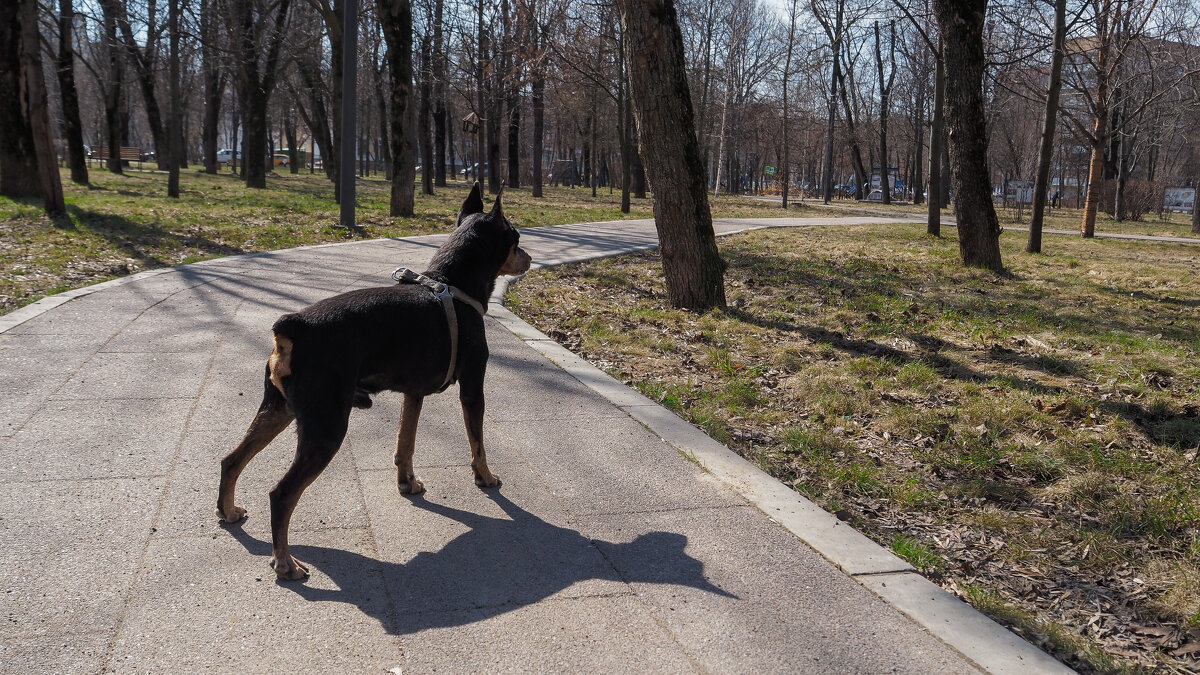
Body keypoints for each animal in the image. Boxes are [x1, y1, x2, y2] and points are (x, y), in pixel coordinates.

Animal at [217, 183, 535, 578]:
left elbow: (405, 443)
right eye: (515, 238)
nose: (530, 257)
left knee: (231, 460)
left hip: (277, 410)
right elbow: (477, 443)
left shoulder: (414, 392)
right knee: (282, 494)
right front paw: (486, 478)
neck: (452, 285)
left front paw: (407, 482)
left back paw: (229, 511)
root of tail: (291, 328)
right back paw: (286, 563)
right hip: (326, 427)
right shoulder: (473, 388)